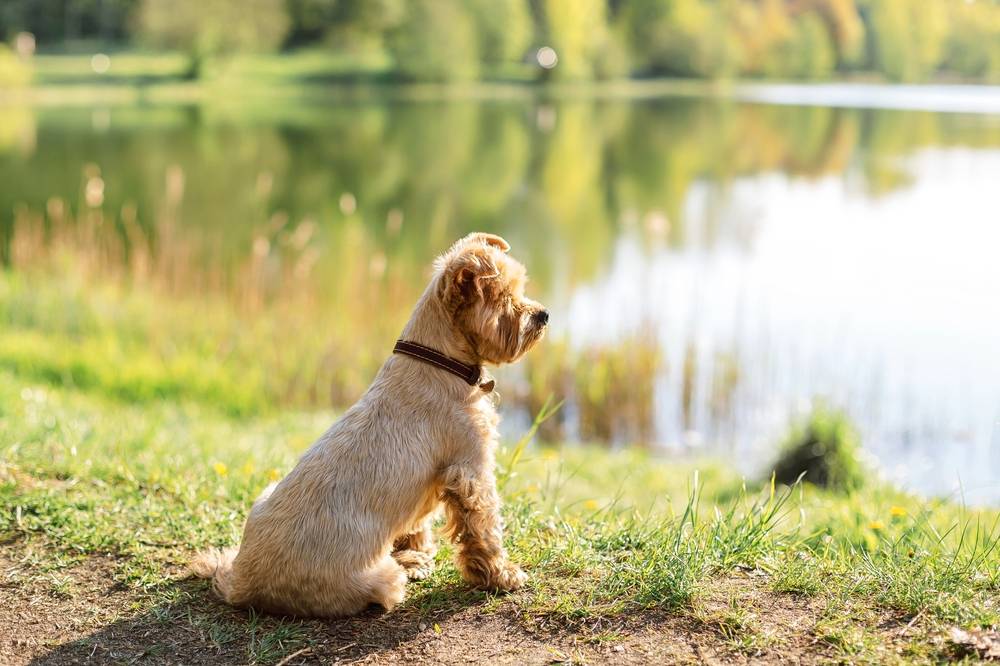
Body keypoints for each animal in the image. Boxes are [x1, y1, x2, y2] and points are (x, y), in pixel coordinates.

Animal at [191, 231, 552, 616]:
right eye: (504, 298)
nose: (543, 314)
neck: (440, 362)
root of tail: (241, 581)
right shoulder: (472, 470)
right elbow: (484, 529)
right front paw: (501, 575)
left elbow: (417, 524)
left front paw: (418, 552)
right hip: (379, 579)